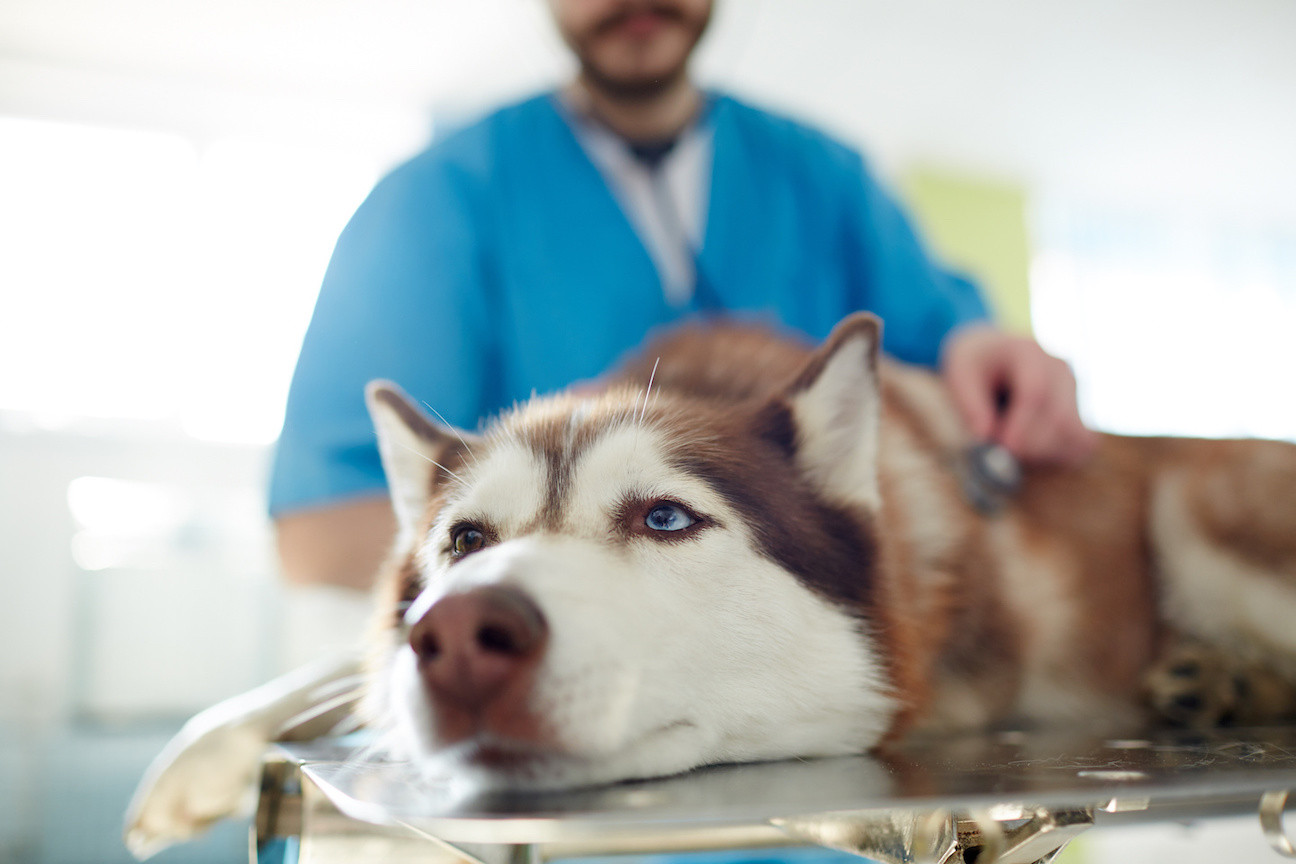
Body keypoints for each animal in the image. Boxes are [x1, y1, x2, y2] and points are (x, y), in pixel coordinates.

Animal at [126, 312, 1296, 849]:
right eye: (466, 541)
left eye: (666, 517)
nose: (456, 639)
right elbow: (332, 670)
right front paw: (202, 753)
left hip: (1200, 507)